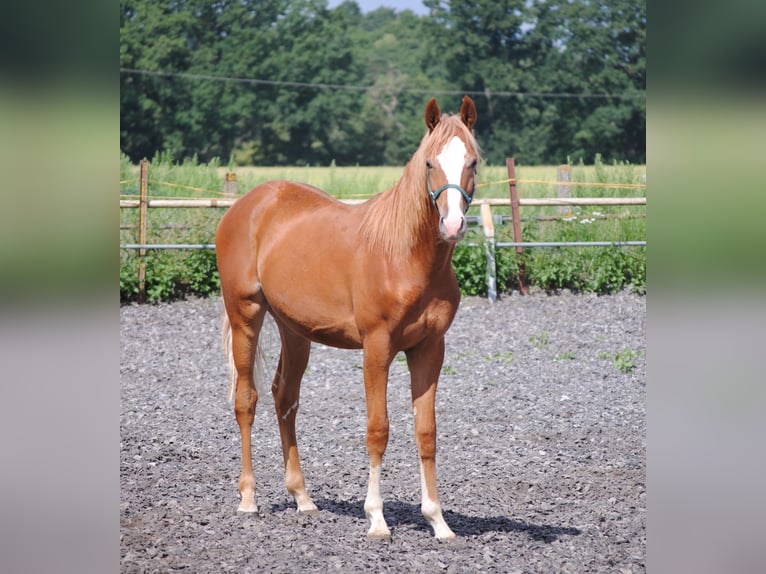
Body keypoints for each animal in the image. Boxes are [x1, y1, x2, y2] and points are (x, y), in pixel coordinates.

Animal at [216, 97, 480, 544]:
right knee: (246, 400)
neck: (404, 256)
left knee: (284, 398)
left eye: (473, 162)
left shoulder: (430, 349)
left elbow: (426, 432)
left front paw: (438, 521)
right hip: (245, 315)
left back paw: (302, 497)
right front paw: (376, 519)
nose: (452, 225)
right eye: (429, 162)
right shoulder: (376, 347)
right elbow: (378, 430)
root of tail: (246, 205)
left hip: (294, 331)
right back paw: (248, 498)